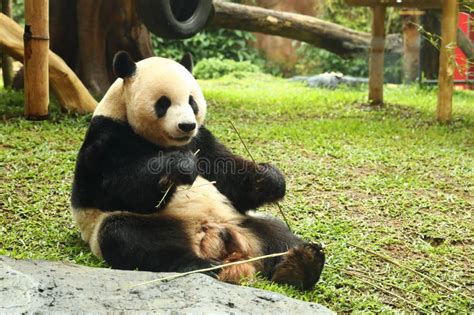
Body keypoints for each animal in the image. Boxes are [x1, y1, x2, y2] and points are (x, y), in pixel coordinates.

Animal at [70, 50, 324, 290]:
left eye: (192, 101)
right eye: (163, 103)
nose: (186, 125)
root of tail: (211, 239)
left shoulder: (201, 140)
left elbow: (228, 176)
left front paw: (268, 179)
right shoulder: (106, 138)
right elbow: (112, 189)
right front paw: (179, 166)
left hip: (240, 222)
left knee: (276, 233)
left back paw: (301, 264)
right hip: (140, 226)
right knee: (130, 237)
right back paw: (201, 266)